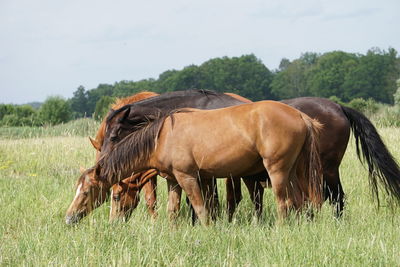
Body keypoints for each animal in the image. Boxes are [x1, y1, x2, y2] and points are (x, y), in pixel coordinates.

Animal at [97, 101, 324, 225]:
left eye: (116, 196)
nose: (101, 163)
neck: (164, 133)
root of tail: (302, 117)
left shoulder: (189, 177)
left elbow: (201, 207)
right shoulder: (197, 178)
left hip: (277, 171)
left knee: (284, 203)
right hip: (292, 172)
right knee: (299, 202)